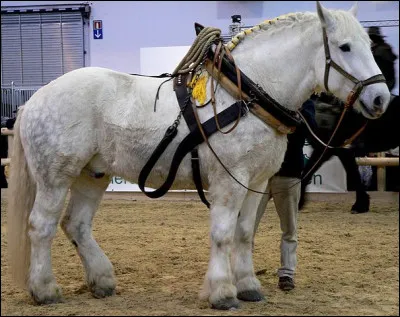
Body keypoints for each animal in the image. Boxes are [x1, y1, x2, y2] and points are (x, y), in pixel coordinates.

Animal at [7, 1, 390, 310]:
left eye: (369, 46)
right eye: (344, 47)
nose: (381, 98)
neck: (245, 94)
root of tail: (36, 98)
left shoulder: (256, 182)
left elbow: (244, 233)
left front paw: (248, 285)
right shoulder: (229, 181)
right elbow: (223, 233)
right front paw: (222, 292)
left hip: (92, 174)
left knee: (77, 225)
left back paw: (102, 280)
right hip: (56, 177)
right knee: (41, 226)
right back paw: (45, 290)